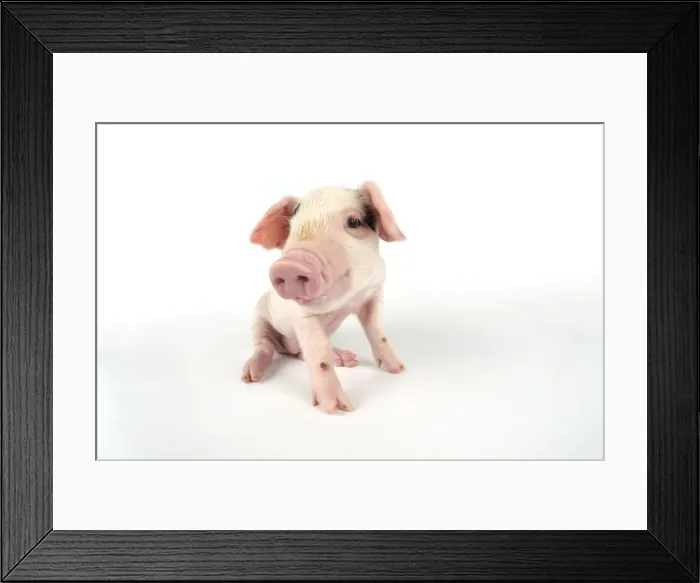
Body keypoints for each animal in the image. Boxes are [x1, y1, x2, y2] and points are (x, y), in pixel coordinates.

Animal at [241, 181, 406, 414]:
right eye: (291, 226)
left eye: (353, 221)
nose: (289, 265)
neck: (346, 301)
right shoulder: (301, 314)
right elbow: (318, 352)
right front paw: (339, 408)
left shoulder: (375, 292)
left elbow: (378, 332)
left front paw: (399, 369)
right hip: (258, 316)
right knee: (264, 345)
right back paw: (251, 375)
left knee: (300, 353)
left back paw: (347, 359)